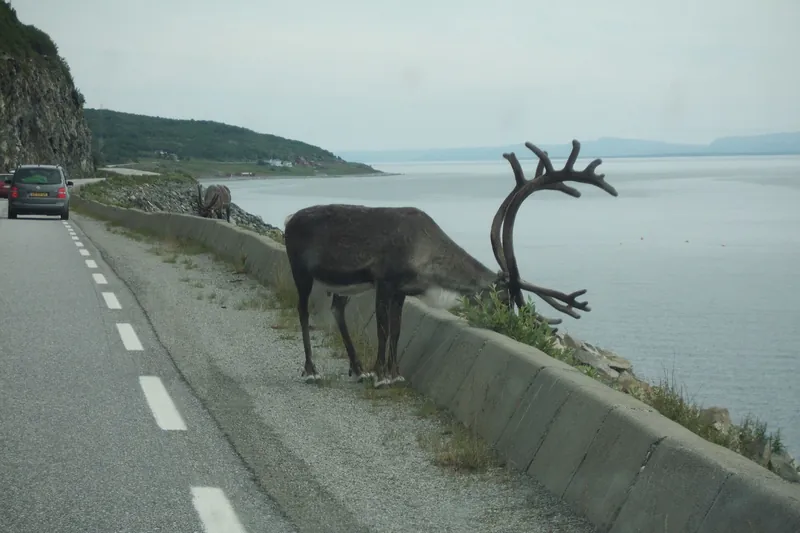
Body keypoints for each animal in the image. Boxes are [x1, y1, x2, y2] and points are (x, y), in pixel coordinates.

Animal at [283, 139, 619, 388]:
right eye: (503, 297)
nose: (509, 326)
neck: (428, 259)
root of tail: (288, 220)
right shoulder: (384, 281)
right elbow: (382, 330)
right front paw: (381, 376)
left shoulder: (401, 291)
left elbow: (397, 331)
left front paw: (394, 374)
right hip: (301, 271)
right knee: (302, 310)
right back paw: (311, 370)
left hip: (345, 284)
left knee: (337, 308)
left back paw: (357, 368)